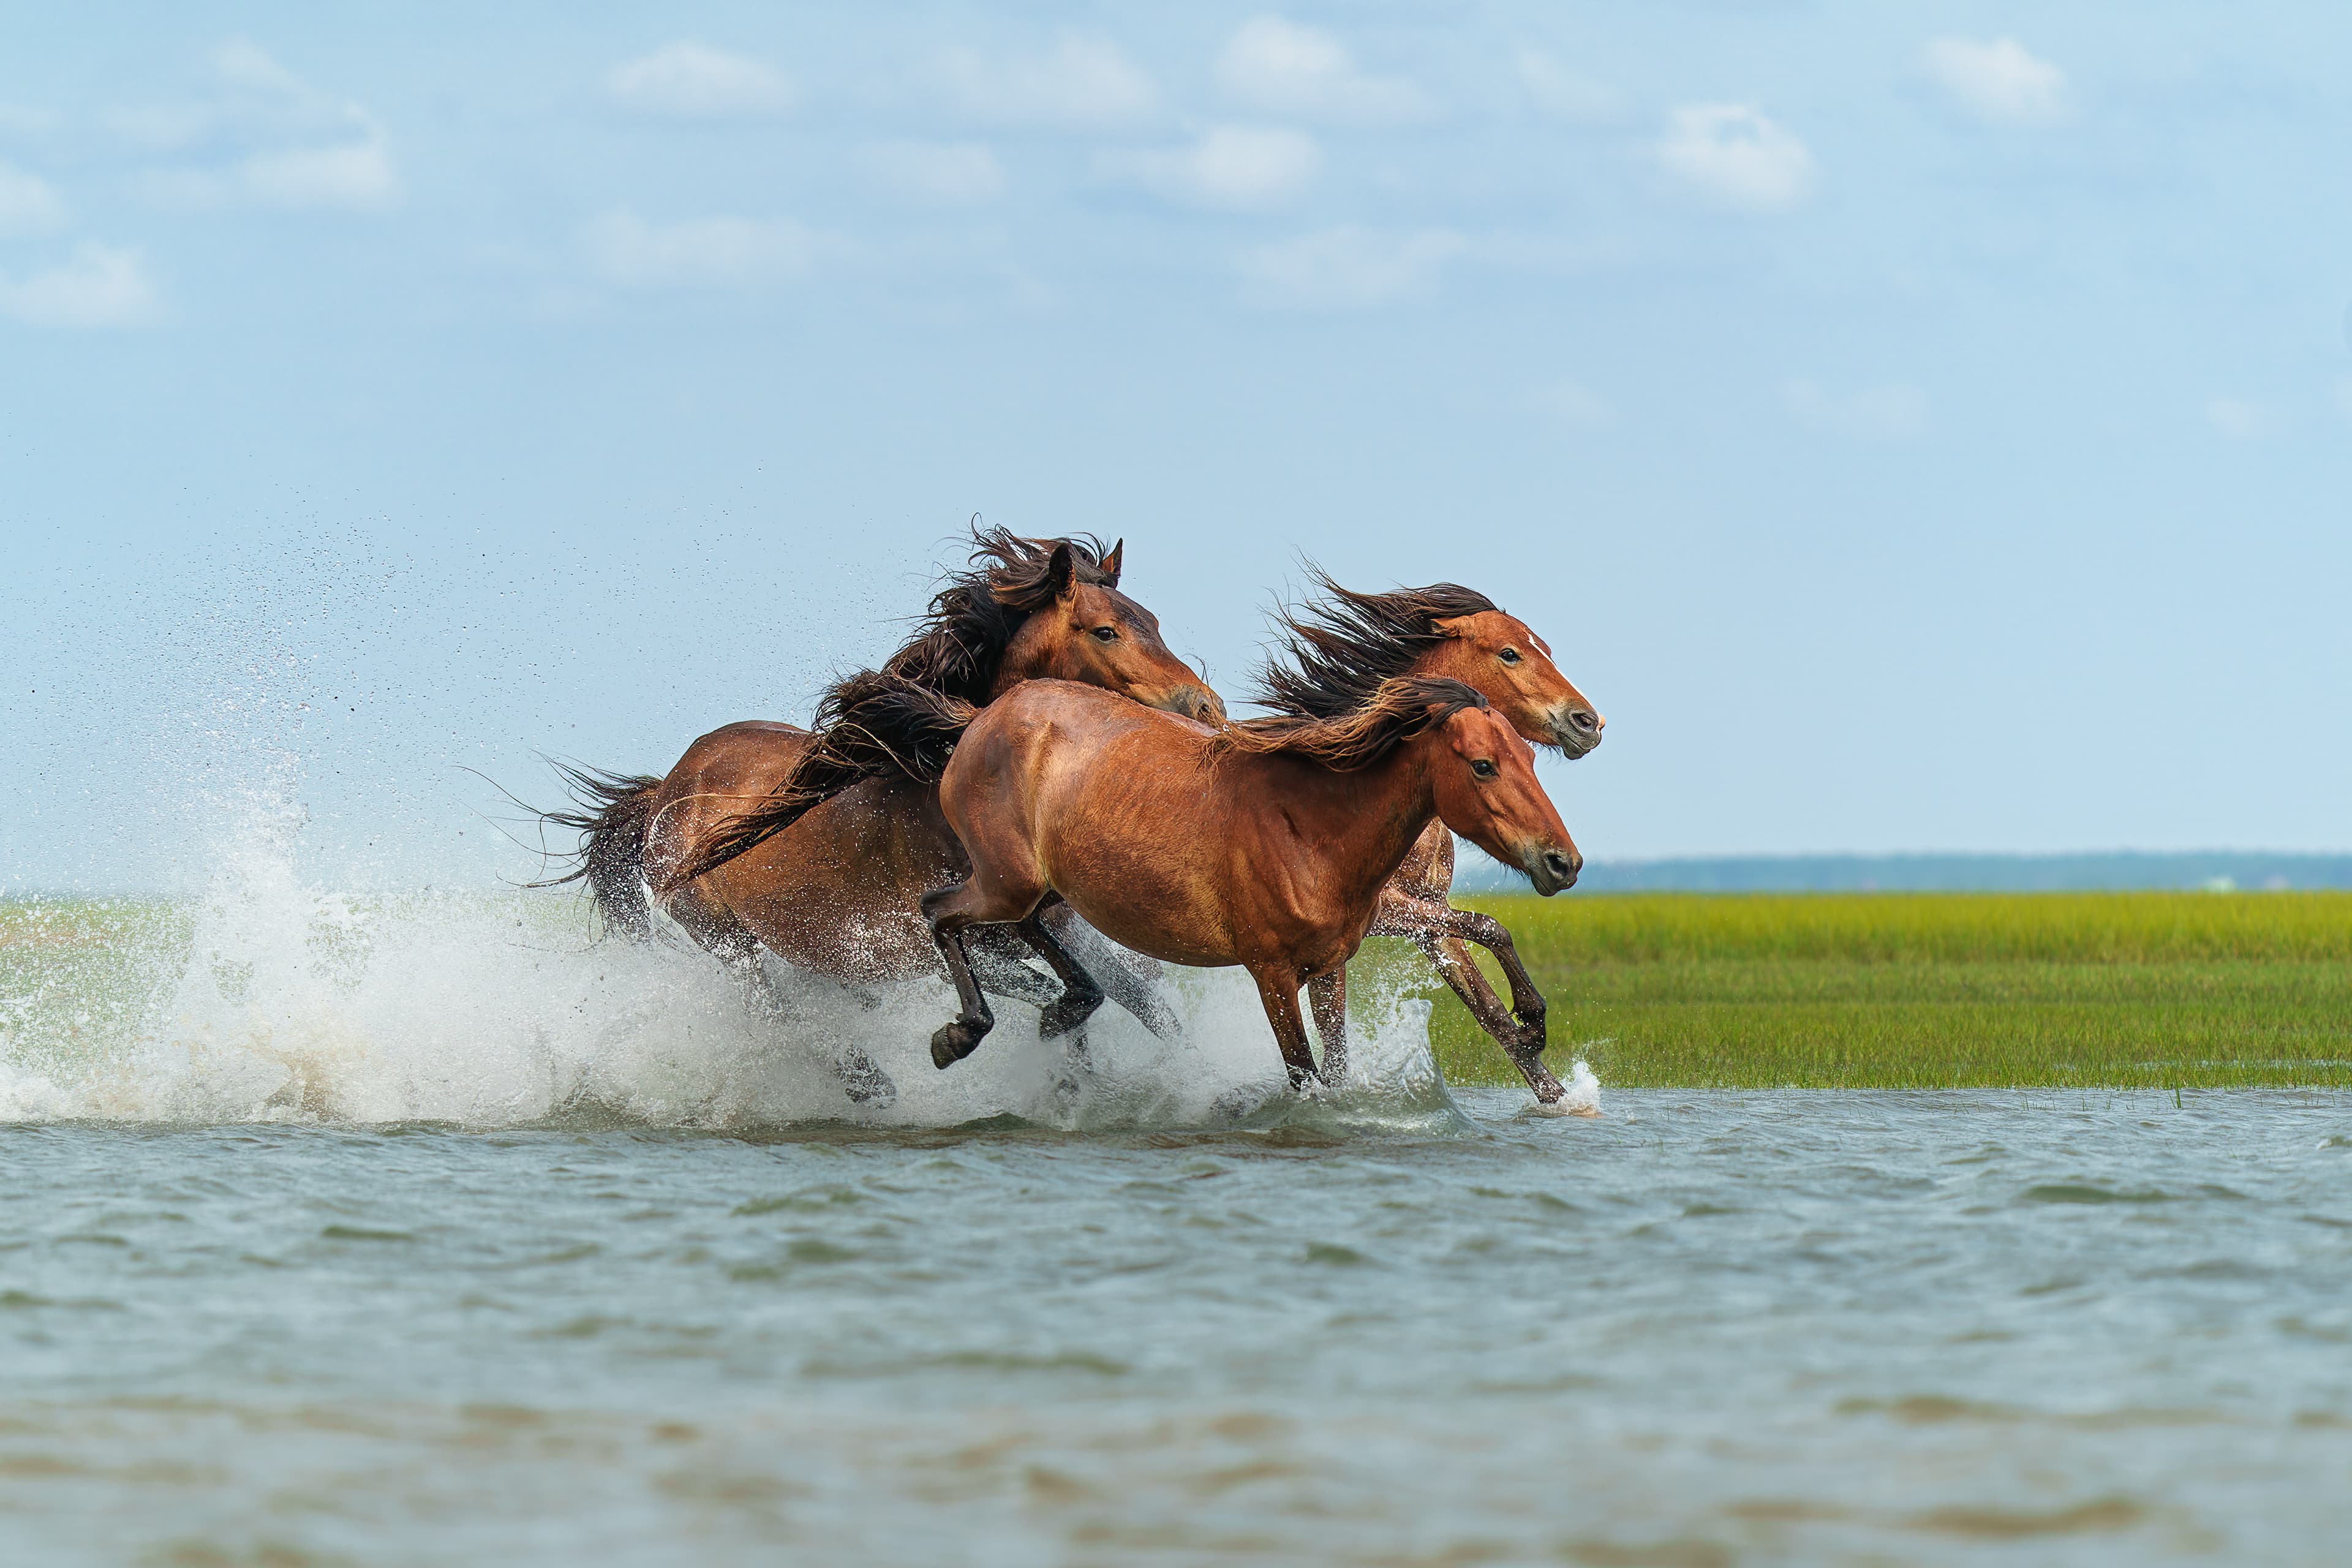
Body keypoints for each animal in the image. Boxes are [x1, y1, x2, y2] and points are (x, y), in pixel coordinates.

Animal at [542, 530, 1223, 1108]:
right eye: (1105, 631)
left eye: (1152, 622)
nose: (1204, 706)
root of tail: (669, 788)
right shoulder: (930, 942)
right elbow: (1058, 993)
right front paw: (990, 1049)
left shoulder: (1059, 929)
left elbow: (1132, 1000)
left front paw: (1206, 1088)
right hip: (724, 940)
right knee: (777, 1013)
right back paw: (868, 1082)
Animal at [1253, 574, 1605, 1104]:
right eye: (1510, 653)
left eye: (1545, 648)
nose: (1589, 723)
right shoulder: (1384, 913)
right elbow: (1490, 930)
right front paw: (1534, 1022)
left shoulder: (1431, 918)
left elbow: (1489, 1009)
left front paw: (1559, 1094)